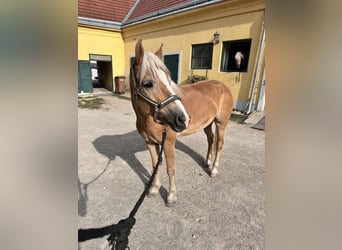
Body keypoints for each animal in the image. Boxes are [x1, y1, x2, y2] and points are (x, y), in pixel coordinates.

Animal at [130, 39, 234, 207]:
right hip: (207, 123)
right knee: (210, 139)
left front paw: (171, 196)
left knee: (219, 144)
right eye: (147, 84)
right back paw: (207, 162)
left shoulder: (168, 142)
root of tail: (223, 86)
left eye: (168, 79)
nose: (183, 118)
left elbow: (170, 169)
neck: (148, 118)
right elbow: (155, 166)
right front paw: (154, 189)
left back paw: (213, 170)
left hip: (221, 123)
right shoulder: (150, 142)